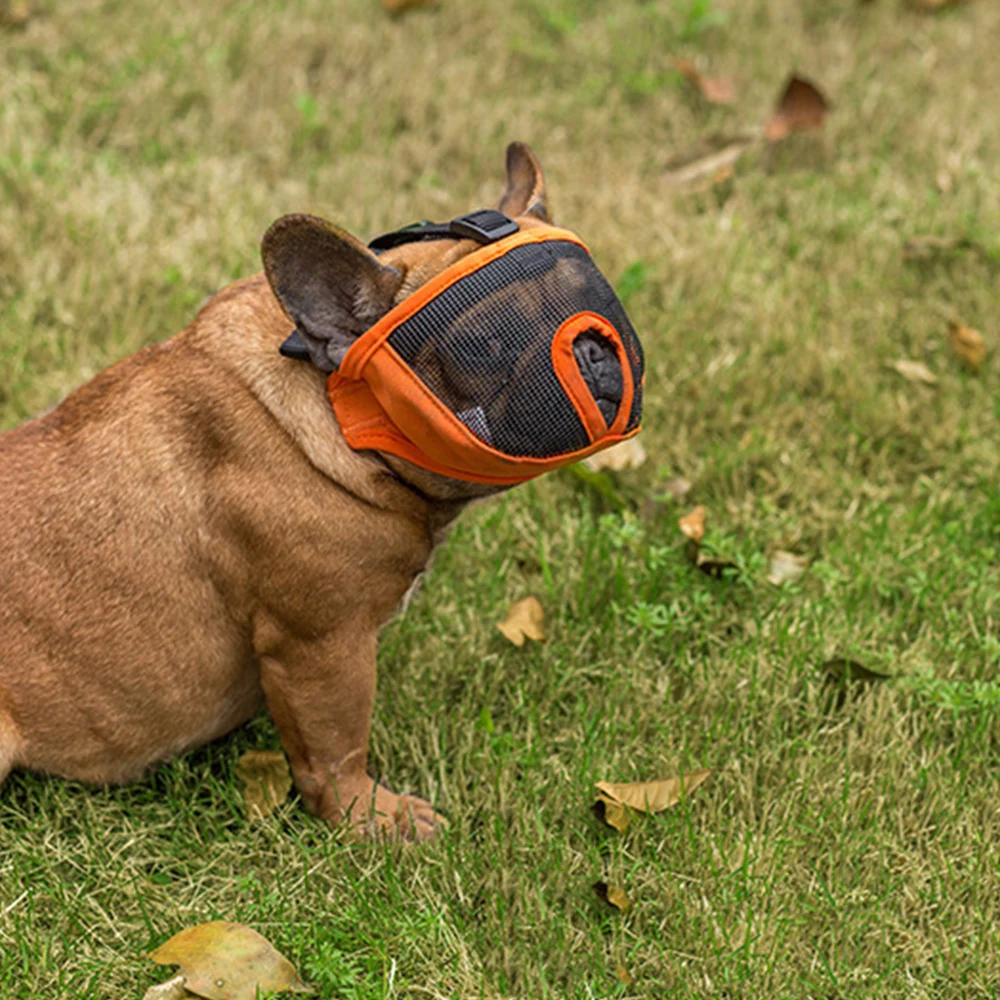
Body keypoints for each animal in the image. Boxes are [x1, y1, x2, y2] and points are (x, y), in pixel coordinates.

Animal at [0, 145, 624, 840]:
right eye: (485, 348)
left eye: (599, 301)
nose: (591, 347)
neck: (336, 409)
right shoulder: (322, 645)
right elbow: (336, 747)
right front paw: (370, 819)